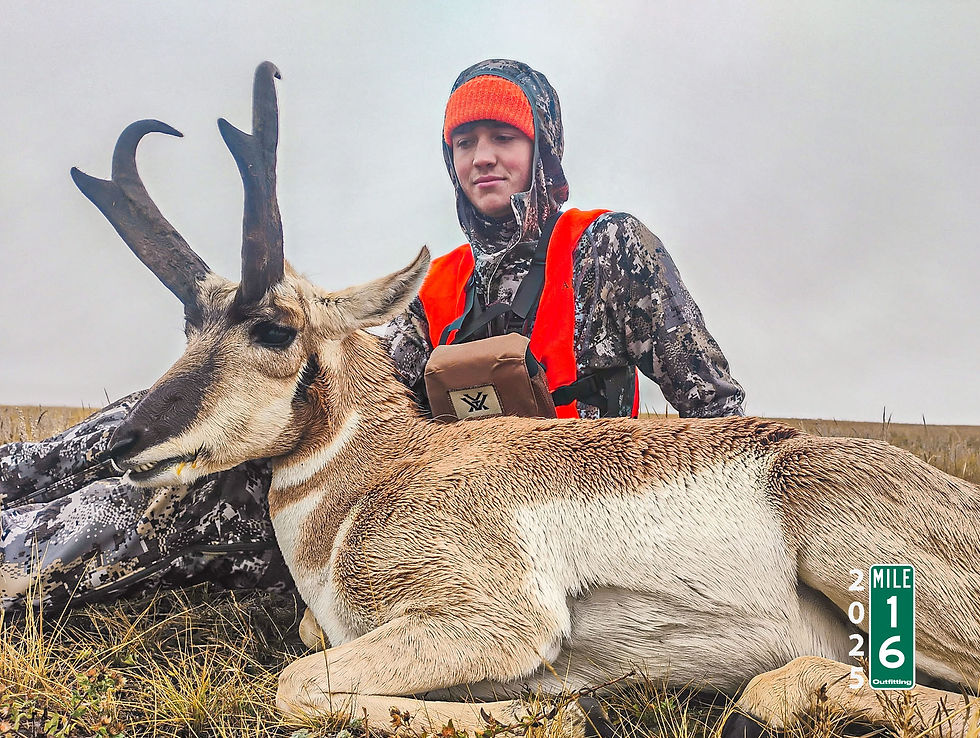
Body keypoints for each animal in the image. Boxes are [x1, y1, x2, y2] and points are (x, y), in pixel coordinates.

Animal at [71, 62, 980, 737]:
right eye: (190, 323)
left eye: (273, 328)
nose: (121, 444)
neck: (378, 472)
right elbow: (304, 651)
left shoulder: (496, 620)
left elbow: (296, 682)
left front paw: (563, 710)